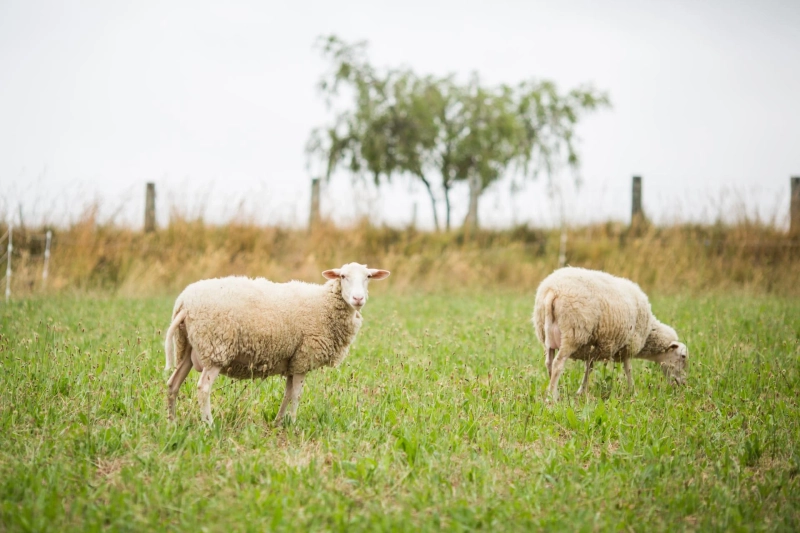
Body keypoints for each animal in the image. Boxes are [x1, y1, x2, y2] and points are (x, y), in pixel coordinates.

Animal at [164, 262, 390, 425]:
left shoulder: (293, 360)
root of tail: (184, 302)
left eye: (368, 277)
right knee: (203, 388)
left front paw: (279, 422)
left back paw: (172, 422)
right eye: (343, 276)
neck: (324, 303)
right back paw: (208, 425)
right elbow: (297, 395)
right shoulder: (304, 357)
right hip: (215, 348)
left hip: (187, 347)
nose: (358, 299)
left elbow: (287, 393)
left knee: (173, 384)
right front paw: (294, 423)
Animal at [532, 267, 688, 401]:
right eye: (683, 356)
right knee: (558, 364)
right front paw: (633, 391)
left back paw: (553, 390)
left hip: (547, 334)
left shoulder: (594, 346)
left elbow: (589, 368)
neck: (649, 332)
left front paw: (581, 391)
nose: (683, 384)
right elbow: (628, 369)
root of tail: (552, 290)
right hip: (573, 333)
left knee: (549, 363)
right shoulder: (628, 345)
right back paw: (552, 397)